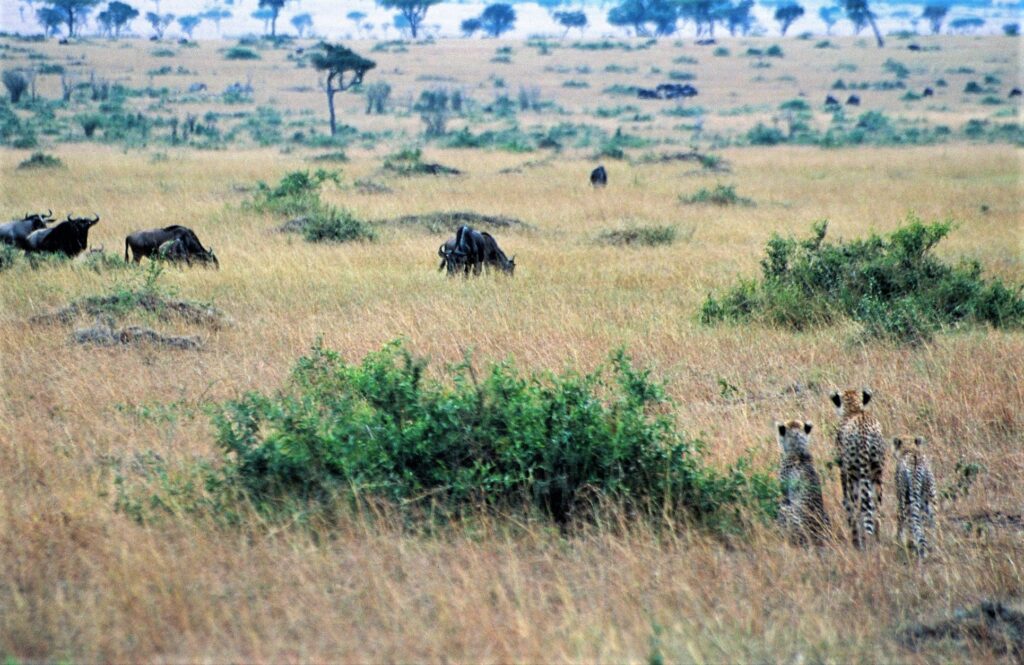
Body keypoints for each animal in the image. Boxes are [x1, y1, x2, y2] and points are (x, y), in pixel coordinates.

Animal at [827, 387, 884, 549]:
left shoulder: (844, 470)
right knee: (876, 510)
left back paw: (857, 539)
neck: (854, 410)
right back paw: (876, 540)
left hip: (854, 474)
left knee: (857, 507)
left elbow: (846, 499)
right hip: (877, 471)